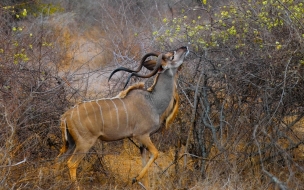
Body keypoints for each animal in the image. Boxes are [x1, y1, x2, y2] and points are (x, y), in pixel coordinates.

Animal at [56, 45, 188, 186]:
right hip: (84, 143)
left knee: (59, 160)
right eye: (172, 56)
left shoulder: (142, 143)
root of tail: (66, 116)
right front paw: (135, 178)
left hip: (71, 144)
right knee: (71, 163)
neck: (152, 101)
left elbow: (145, 165)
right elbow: (156, 154)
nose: (185, 47)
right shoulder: (142, 135)